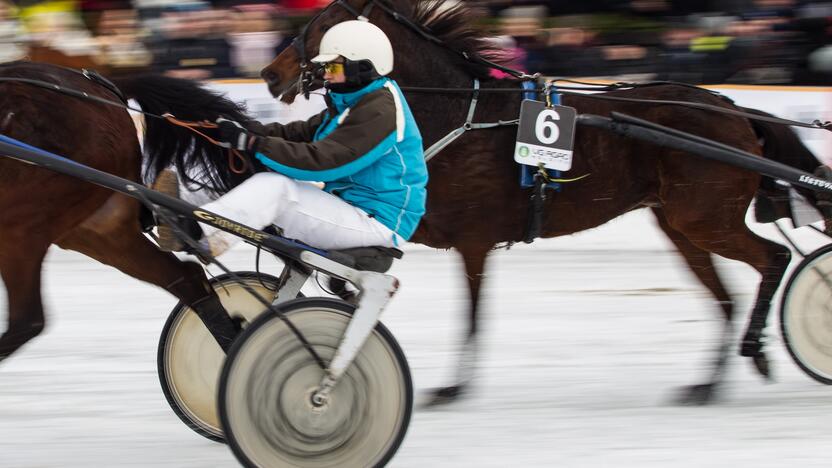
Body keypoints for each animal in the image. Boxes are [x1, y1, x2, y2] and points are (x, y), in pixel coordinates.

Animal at [256, 0, 828, 404]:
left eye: (322, 25)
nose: (269, 74)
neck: (460, 113)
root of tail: (735, 110)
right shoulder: (425, 227)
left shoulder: (470, 241)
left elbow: (471, 315)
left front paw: (452, 387)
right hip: (681, 227)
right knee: (726, 297)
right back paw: (708, 383)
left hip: (704, 219)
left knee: (774, 258)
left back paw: (756, 350)